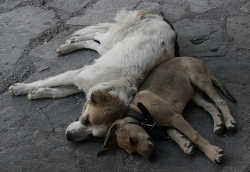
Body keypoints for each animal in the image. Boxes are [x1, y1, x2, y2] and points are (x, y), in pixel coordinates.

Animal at [7, 10, 176, 142]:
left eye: (93, 136)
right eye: (86, 120)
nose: (69, 137)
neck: (117, 82)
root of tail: (160, 18)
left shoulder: (82, 83)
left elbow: (60, 92)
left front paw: (38, 93)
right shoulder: (78, 75)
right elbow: (48, 81)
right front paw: (21, 88)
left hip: (109, 46)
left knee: (95, 41)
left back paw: (73, 42)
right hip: (111, 39)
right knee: (98, 34)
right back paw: (72, 42)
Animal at [100, 56, 236, 163]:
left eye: (132, 140)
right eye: (134, 153)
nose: (151, 157)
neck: (140, 112)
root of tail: (196, 59)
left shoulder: (175, 117)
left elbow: (194, 135)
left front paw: (211, 152)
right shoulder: (168, 122)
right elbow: (172, 132)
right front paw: (184, 144)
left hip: (200, 80)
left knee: (220, 101)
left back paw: (229, 121)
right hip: (194, 94)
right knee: (210, 106)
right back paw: (218, 124)